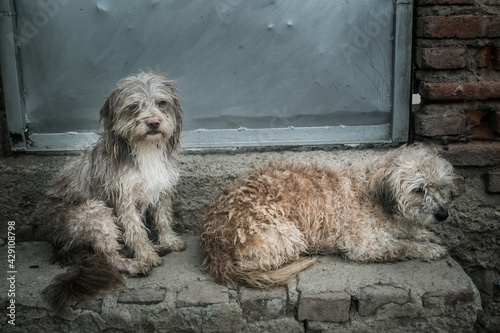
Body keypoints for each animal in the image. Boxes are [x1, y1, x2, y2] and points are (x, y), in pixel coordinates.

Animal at [200, 145, 458, 288]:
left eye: (442, 186)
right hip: (288, 235)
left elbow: (409, 231)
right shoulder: (365, 247)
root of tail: (214, 245)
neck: (370, 190)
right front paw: (429, 249)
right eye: (419, 189)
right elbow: (402, 246)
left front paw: (426, 235)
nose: (443, 215)